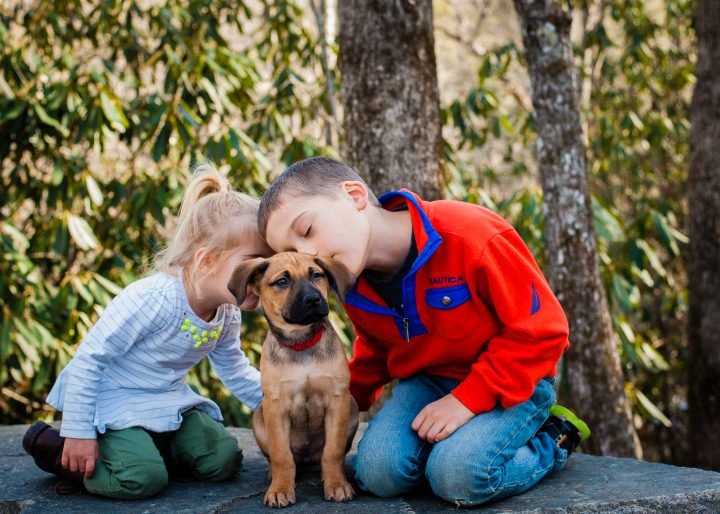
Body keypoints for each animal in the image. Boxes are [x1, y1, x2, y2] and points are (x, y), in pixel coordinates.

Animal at [229, 250, 360, 506]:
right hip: (259, 416)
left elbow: (333, 452)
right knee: (278, 457)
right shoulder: (275, 406)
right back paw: (274, 475)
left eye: (317, 275)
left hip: (352, 406)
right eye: (282, 281)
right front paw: (280, 489)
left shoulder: (337, 400)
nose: (313, 300)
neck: (301, 342)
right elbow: (281, 455)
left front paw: (337, 485)